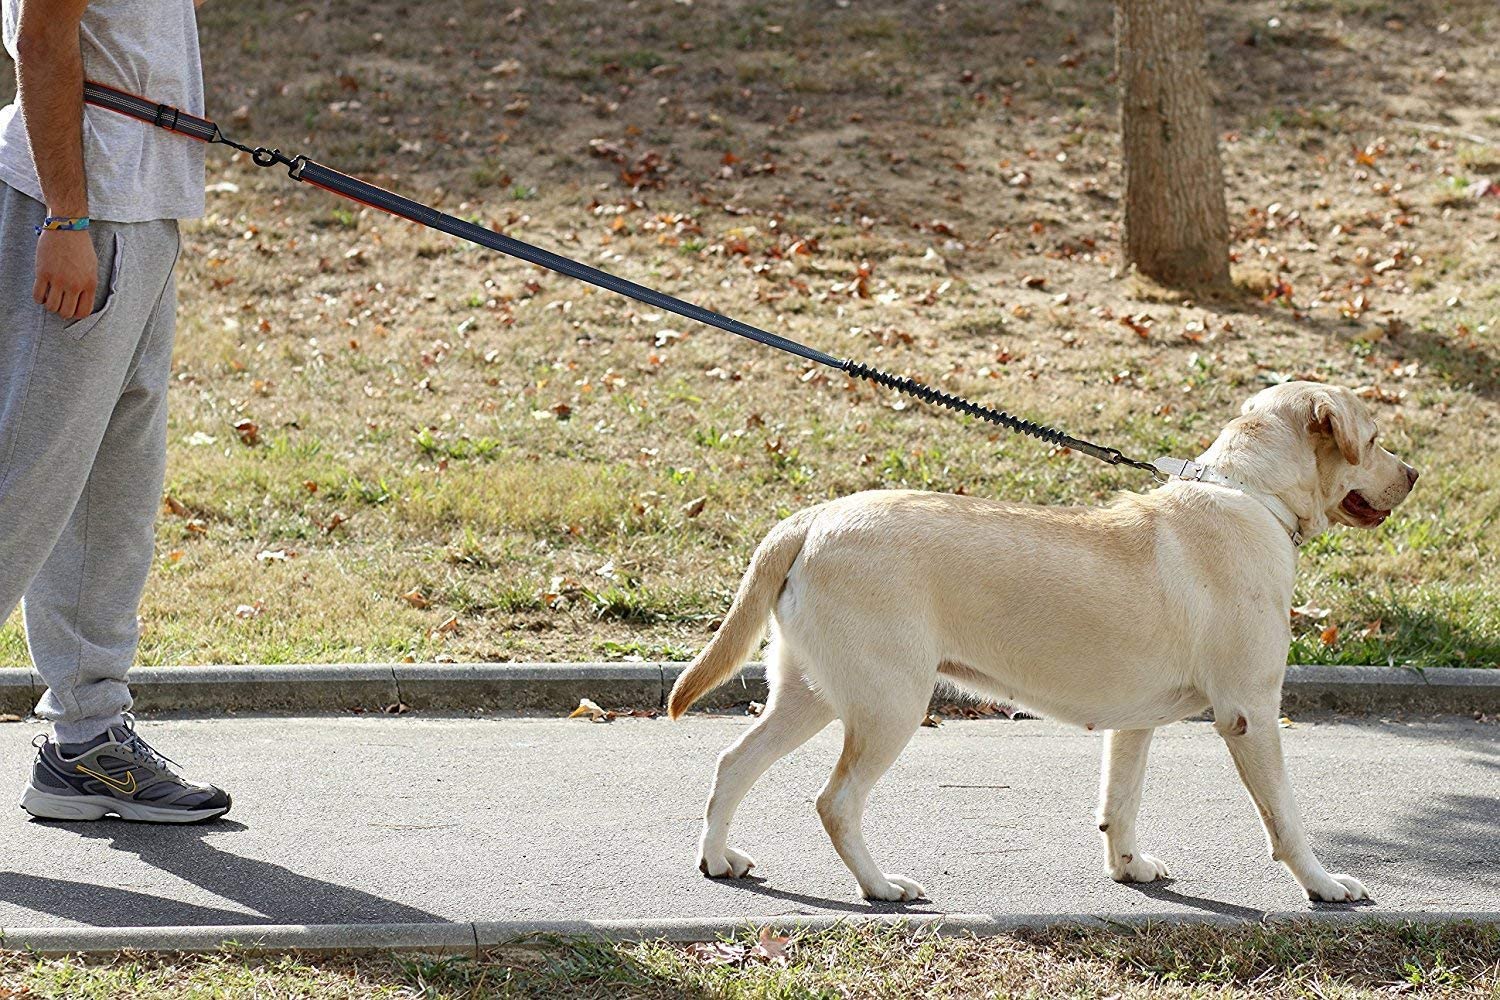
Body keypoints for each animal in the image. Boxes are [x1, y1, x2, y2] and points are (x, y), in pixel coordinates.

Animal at [669, 380, 1416, 905]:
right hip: (890, 706)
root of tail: (814, 518)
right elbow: (1285, 817)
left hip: (811, 695)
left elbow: (1120, 804)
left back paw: (718, 860)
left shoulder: (1134, 725)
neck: (1250, 494)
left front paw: (1128, 868)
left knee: (732, 763)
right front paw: (1323, 884)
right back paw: (880, 887)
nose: (1414, 476)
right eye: (1376, 437)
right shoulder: (1252, 714)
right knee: (837, 803)